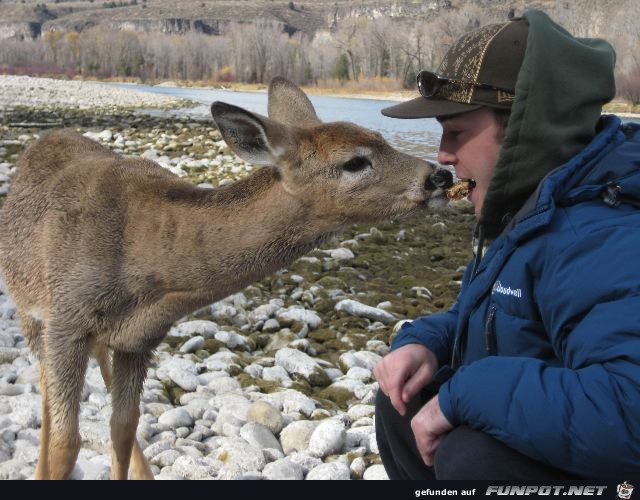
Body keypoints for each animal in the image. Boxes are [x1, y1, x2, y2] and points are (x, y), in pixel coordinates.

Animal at [0, 76, 452, 478]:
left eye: (381, 137)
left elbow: (124, 429)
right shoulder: (66, 321)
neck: (145, 265)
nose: (439, 176)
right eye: (354, 161)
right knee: (45, 392)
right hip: (31, 311)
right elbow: (66, 442)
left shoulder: (139, 339)